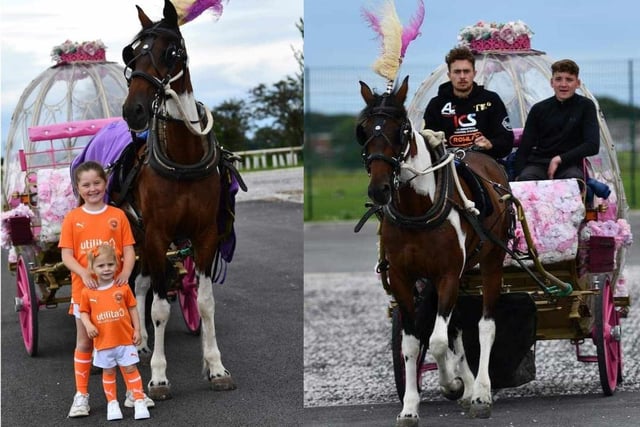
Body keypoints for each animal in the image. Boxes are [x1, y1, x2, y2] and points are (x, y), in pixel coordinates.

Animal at [118, 0, 235, 402]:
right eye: (132, 54)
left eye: (173, 53)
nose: (133, 111)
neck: (183, 158)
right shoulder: (156, 235)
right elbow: (159, 309)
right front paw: (158, 377)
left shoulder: (206, 235)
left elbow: (206, 302)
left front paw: (216, 368)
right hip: (137, 236)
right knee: (139, 289)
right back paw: (138, 342)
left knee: (140, 285)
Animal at [358, 77, 512, 424]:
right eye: (363, 129)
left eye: (401, 129)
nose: (379, 189)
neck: (418, 209)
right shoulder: (404, 279)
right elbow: (414, 343)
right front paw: (410, 407)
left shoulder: (447, 275)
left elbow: (439, 340)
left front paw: (452, 384)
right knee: (456, 327)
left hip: (491, 262)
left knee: (485, 325)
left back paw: (480, 392)